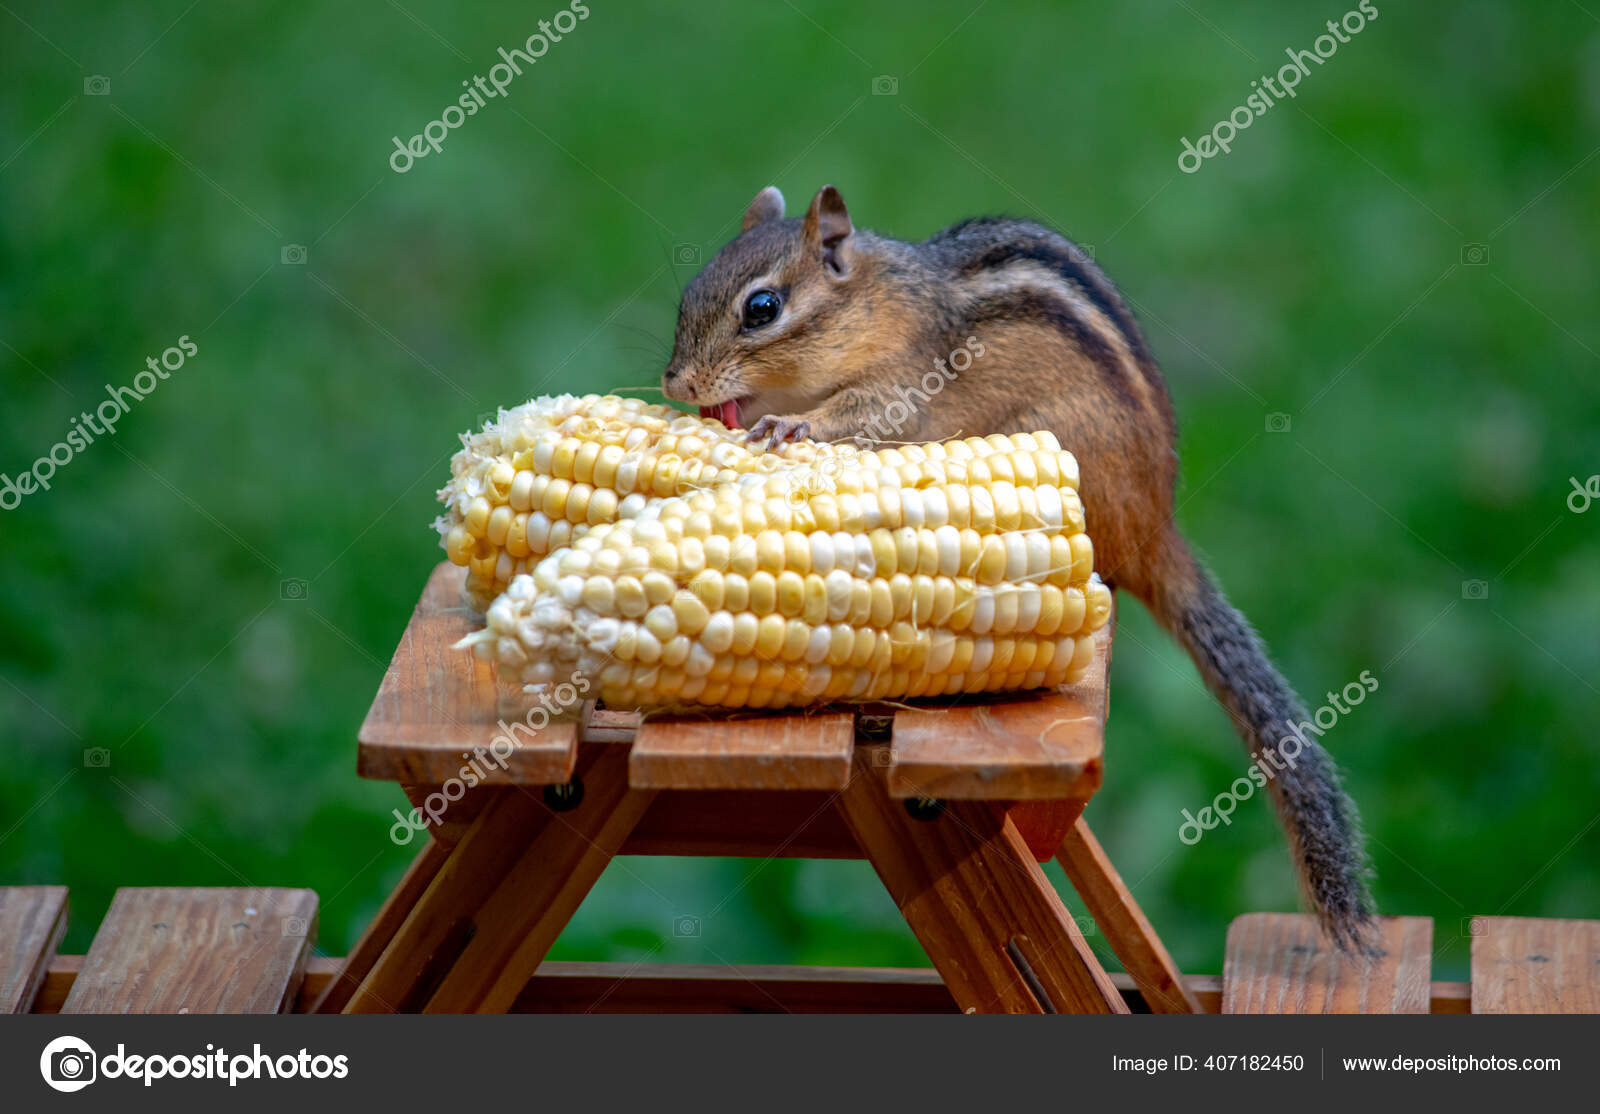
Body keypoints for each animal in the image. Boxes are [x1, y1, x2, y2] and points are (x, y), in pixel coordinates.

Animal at [661, 184, 1373, 950]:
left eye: (762, 309)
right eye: (689, 291)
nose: (675, 382)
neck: (876, 302)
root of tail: (1155, 530)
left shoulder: (906, 375)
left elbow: (865, 411)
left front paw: (795, 426)